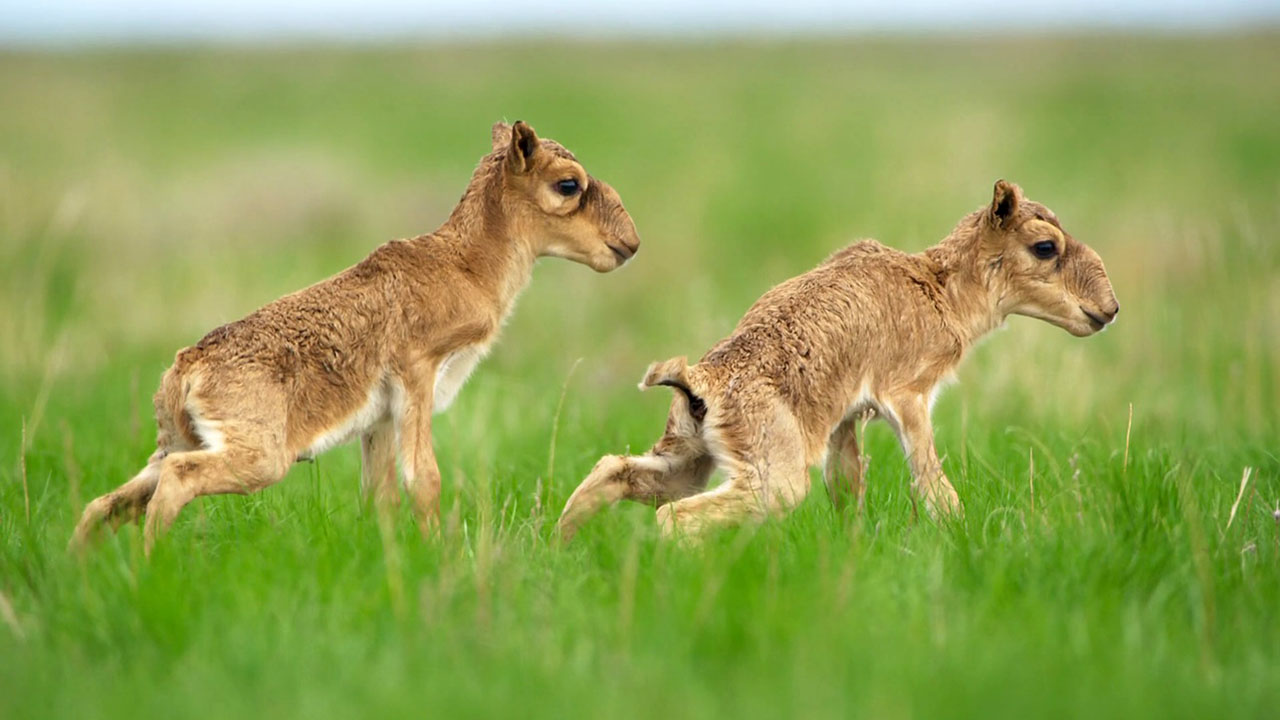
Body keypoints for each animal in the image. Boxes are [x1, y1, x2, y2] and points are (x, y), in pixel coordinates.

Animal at [71, 121, 641, 553]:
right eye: (568, 184)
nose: (630, 243)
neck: (465, 265)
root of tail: (184, 367)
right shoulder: (417, 377)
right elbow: (424, 479)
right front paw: (439, 555)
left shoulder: (380, 420)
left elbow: (380, 495)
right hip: (259, 458)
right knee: (174, 483)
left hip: (175, 443)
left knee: (103, 504)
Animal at [557, 180, 1117, 540]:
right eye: (1045, 246)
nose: (1109, 310)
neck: (939, 288)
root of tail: (699, 379)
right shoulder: (908, 398)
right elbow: (934, 484)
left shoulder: (844, 420)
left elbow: (847, 490)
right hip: (774, 482)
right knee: (675, 519)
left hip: (688, 459)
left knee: (615, 471)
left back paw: (560, 545)